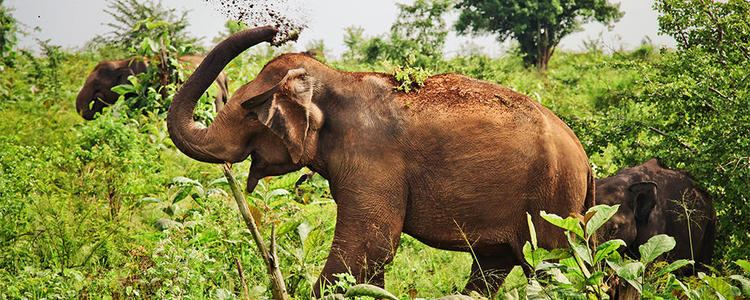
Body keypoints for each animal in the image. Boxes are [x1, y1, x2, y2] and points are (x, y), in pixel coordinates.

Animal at [167, 26, 596, 298]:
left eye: (249, 112)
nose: (279, 31)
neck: (338, 79)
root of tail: (585, 159)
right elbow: (371, 258)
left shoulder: (373, 157)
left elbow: (367, 247)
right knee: (492, 268)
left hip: (552, 200)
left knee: (554, 267)